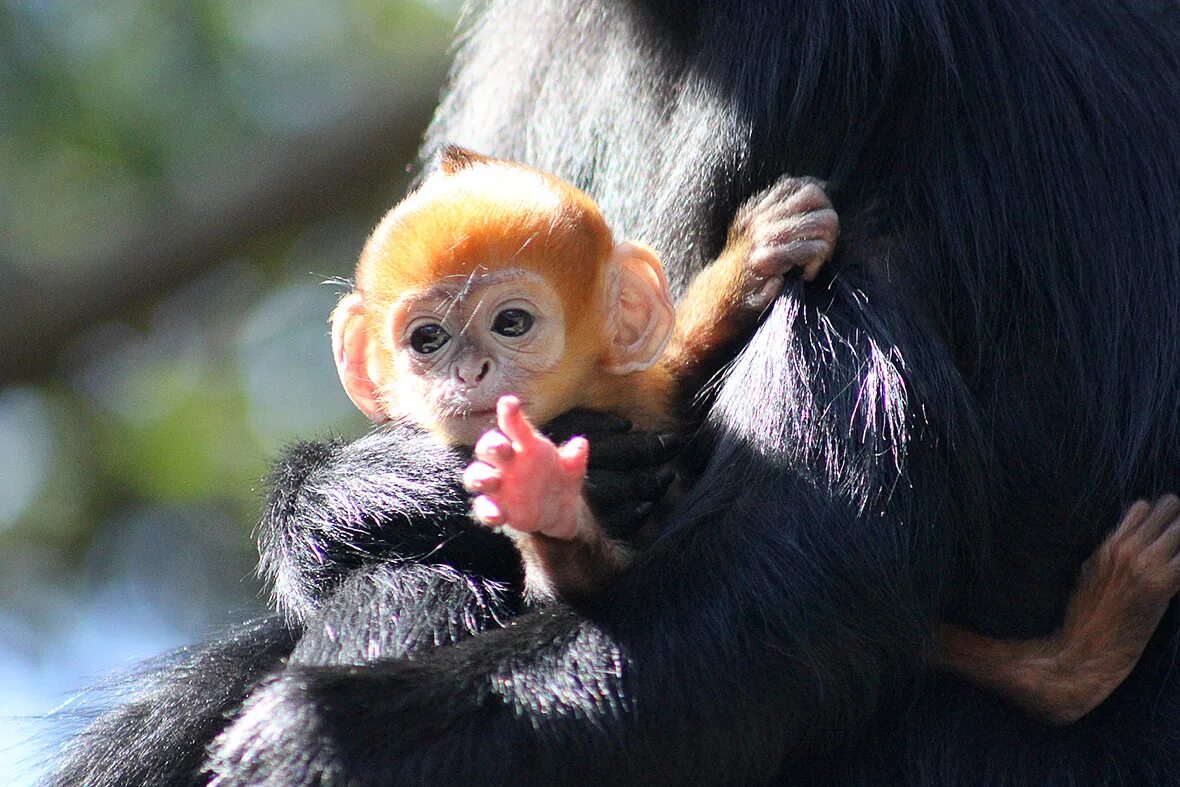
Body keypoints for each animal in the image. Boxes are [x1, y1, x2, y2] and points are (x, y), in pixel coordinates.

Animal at [330, 147, 1180, 726]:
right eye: (427, 338)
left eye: (511, 323)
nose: (468, 369)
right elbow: (586, 591)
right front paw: (540, 496)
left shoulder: (635, 395)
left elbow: (670, 374)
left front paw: (754, 257)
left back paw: (1077, 659)